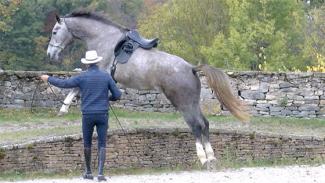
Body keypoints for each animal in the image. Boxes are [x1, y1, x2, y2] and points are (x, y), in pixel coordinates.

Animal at [46, 10, 248, 169]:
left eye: (55, 31)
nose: (50, 54)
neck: (104, 38)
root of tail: (191, 68)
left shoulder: (99, 72)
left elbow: (75, 88)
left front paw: (63, 108)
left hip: (182, 103)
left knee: (196, 126)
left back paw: (203, 159)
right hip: (192, 102)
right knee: (204, 124)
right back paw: (211, 158)